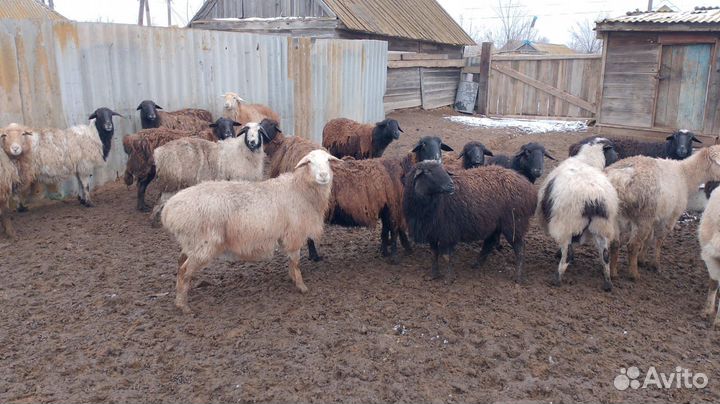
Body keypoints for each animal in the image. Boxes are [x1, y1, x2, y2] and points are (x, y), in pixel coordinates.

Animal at [161, 149, 340, 313]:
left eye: (328, 161)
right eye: (309, 162)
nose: (324, 175)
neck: (299, 188)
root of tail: (169, 209)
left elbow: (291, 261)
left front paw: (292, 278)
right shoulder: (294, 234)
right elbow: (296, 262)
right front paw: (301, 286)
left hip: (191, 242)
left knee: (180, 263)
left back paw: (181, 295)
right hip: (203, 244)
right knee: (184, 270)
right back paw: (183, 305)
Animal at [402, 161, 537, 283]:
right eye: (428, 171)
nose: (451, 185)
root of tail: (529, 188)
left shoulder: (448, 232)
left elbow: (446, 256)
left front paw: (448, 279)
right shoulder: (432, 232)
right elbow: (434, 254)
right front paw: (433, 275)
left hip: (514, 224)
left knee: (520, 249)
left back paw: (518, 277)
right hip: (496, 224)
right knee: (490, 242)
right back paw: (477, 264)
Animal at [537, 138, 619, 290]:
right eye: (612, 149)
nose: (618, 155)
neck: (586, 161)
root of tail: (593, 198)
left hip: (567, 223)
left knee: (567, 253)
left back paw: (557, 278)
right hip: (602, 226)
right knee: (605, 255)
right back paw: (607, 283)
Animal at [606, 144, 720, 281]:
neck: (685, 174)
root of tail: (620, 178)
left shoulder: (656, 217)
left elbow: (648, 239)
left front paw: (642, 259)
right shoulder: (671, 216)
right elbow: (659, 240)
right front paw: (655, 264)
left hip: (616, 215)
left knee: (615, 243)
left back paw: (613, 273)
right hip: (643, 216)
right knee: (632, 245)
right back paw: (634, 274)